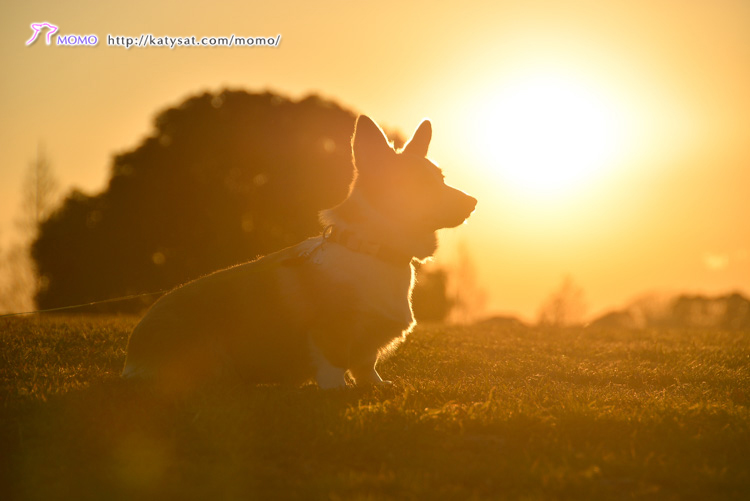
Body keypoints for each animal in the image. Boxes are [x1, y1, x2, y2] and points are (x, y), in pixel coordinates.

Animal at [122, 116, 476, 390]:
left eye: (441, 178)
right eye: (419, 183)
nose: (473, 202)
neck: (373, 250)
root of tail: (131, 362)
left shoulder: (366, 346)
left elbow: (367, 365)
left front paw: (375, 386)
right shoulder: (330, 332)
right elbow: (334, 366)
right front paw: (339, 391)